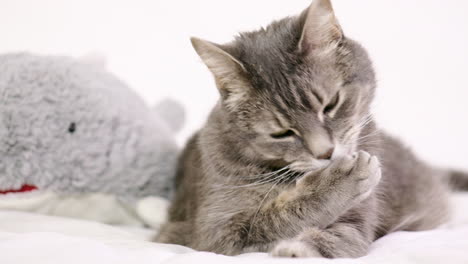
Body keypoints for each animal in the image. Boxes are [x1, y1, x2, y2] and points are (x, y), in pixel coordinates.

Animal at [157, 0, 468, 258]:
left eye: (330, 105)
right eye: (281, 133)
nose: (326, 153)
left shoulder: (357, 222)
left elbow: (339, 239)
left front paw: (298, 248)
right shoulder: (214, 230)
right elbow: (275, 216)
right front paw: (338, 182)